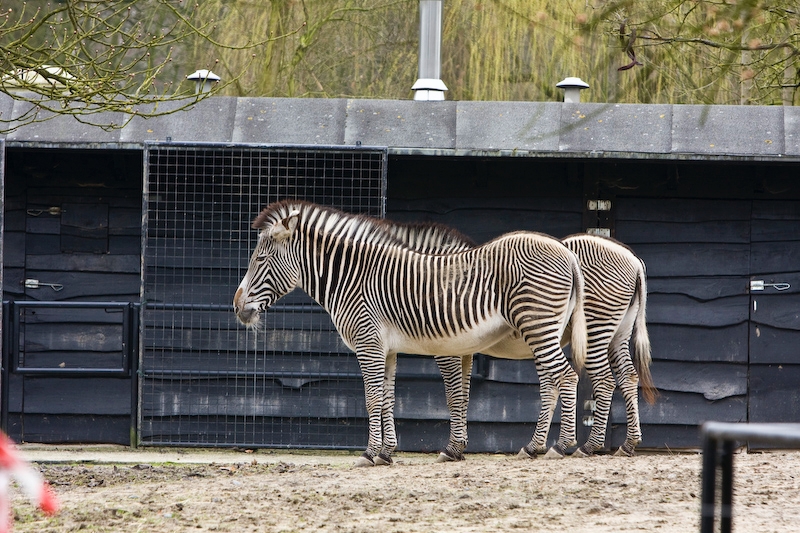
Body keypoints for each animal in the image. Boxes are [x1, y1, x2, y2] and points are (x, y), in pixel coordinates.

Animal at [233, 200, 588, 466]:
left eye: (260, 259)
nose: (236, 306)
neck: (351, 278)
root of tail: (566, 251)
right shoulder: (387, 348)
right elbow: (388, 398)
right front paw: (387, 452)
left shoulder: (372, 343)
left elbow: (376, 397)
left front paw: (370, 453)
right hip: (542, 331)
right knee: (552, 380)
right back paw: (535, 446)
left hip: (538, 325)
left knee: (567, 376)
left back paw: (561, 446)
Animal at [382, 224, 656, 459]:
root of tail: (633, 260)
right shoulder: (465, 348)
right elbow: (464, 394)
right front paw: (459, 447)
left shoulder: (447, 347)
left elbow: (453, 394)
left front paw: (451, 448)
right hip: (617, 331)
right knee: (628, 376)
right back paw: (628, 444)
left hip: (593, 327)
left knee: (604, 380)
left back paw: (587, 446)